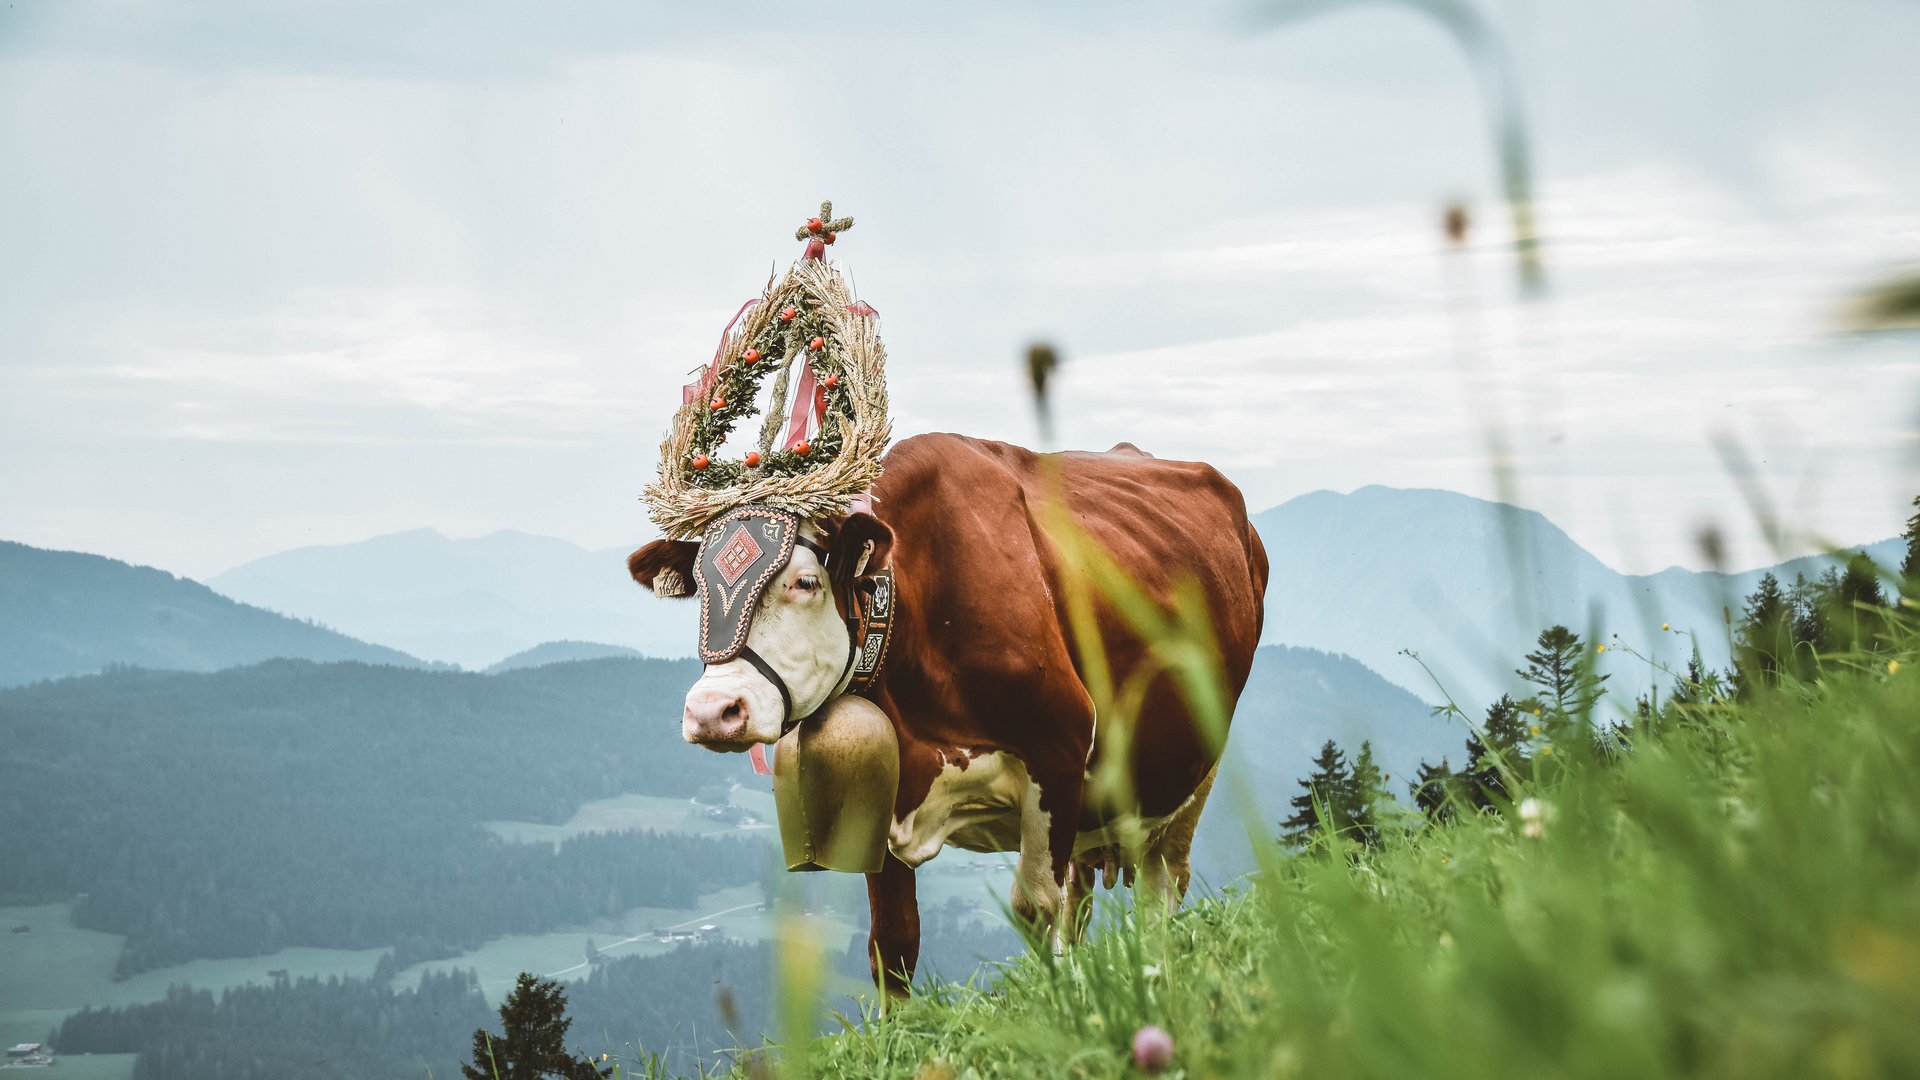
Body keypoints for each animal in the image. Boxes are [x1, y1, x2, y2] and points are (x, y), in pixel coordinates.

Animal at [622, 430, 1267, 991]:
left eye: (805, 582)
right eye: (700, 590)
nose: (712, 711)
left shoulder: (1058, 751)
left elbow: (1035, 908)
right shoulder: (882, 782)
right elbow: (893, 943)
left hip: (1190, 776)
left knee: (1159, 889)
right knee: (1082, 899)